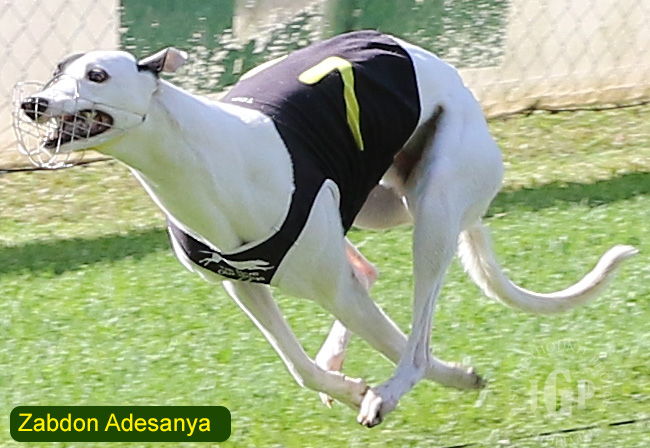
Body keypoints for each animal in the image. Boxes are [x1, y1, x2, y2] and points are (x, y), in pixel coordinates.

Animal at [14, 30, 637, 427]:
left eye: (97, 75)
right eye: (56, 72)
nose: (31, 103)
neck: (204, 156)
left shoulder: (330, 286)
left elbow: (401, 344)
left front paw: (436, 381)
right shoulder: (243, 286)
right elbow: (299, 367)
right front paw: (347, 384)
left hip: (433, 206)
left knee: (412, 328)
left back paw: (395, 389)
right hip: (382, 202)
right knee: (369, 267)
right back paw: (347, 358)